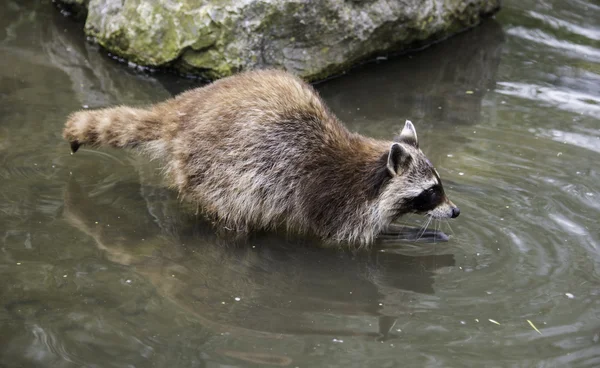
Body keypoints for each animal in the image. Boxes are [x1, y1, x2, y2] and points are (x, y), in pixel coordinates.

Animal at [64, 70, 460, 246]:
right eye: (431, 191)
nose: (455, 211)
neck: (371, 174)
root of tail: (187, 110)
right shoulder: (334, 202)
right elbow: (351, 239)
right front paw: (407, 235)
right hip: (217, 167)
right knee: (232, 210)